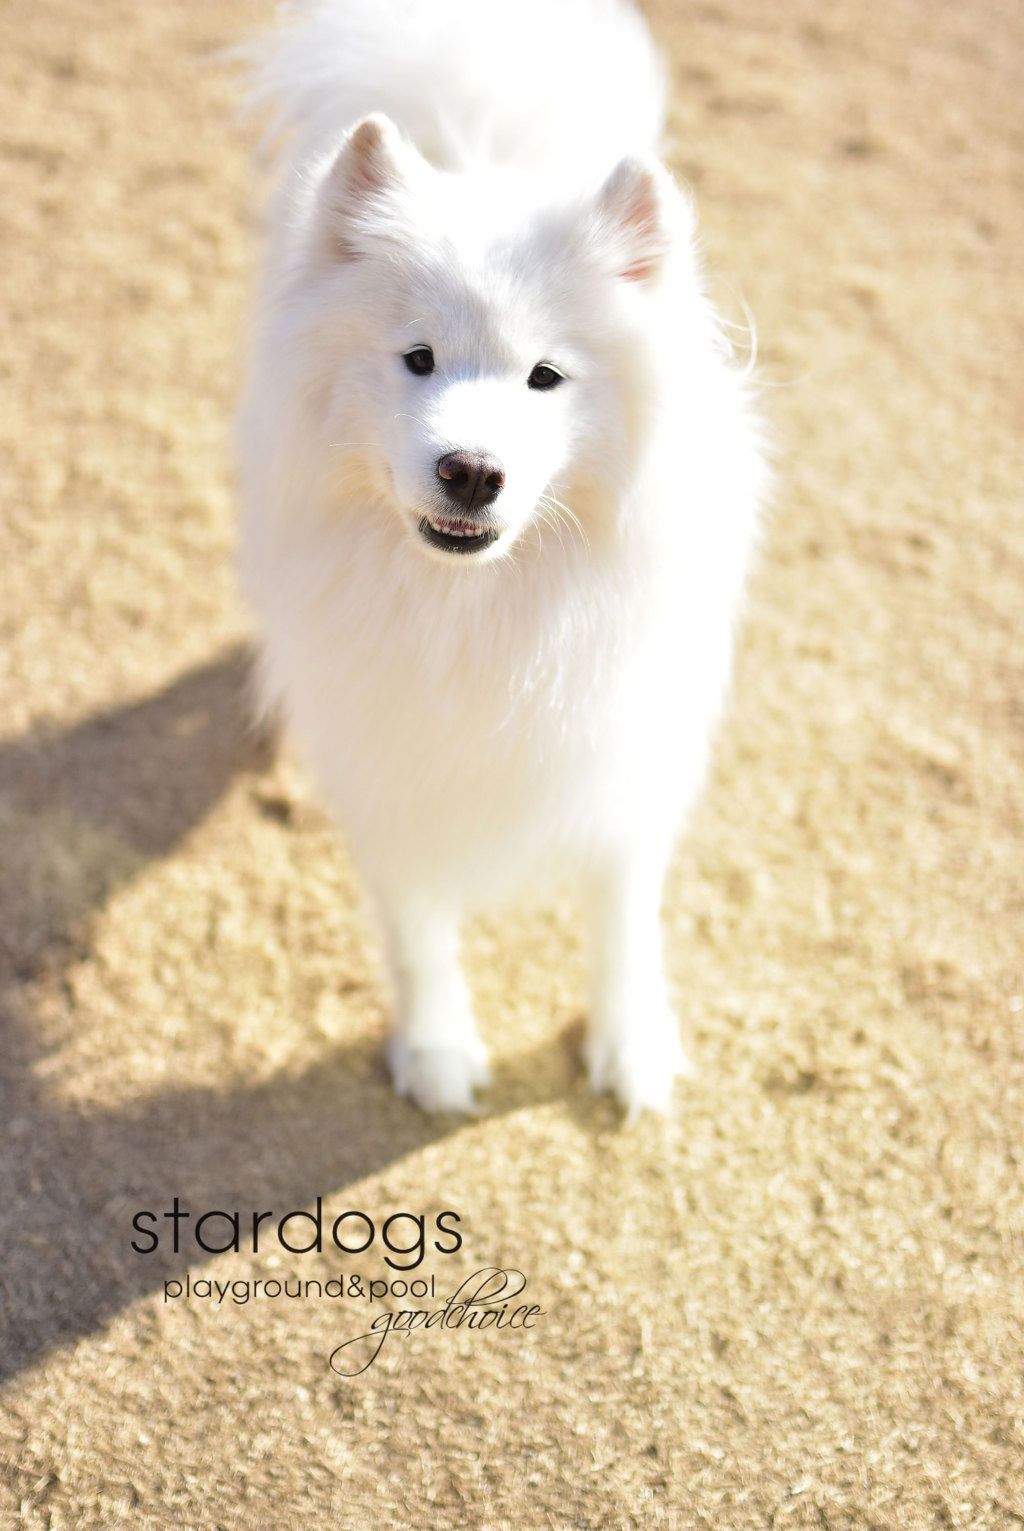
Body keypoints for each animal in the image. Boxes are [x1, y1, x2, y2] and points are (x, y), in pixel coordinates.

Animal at [237, 0, 765, 1114]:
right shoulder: (388, 766)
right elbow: (415, 929)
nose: (471, 471)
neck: (477, 608)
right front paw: (435, 1054)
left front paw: (630, 1048)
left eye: (545, 377)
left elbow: (622, 920)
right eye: (417, 357)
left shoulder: (622, 761)